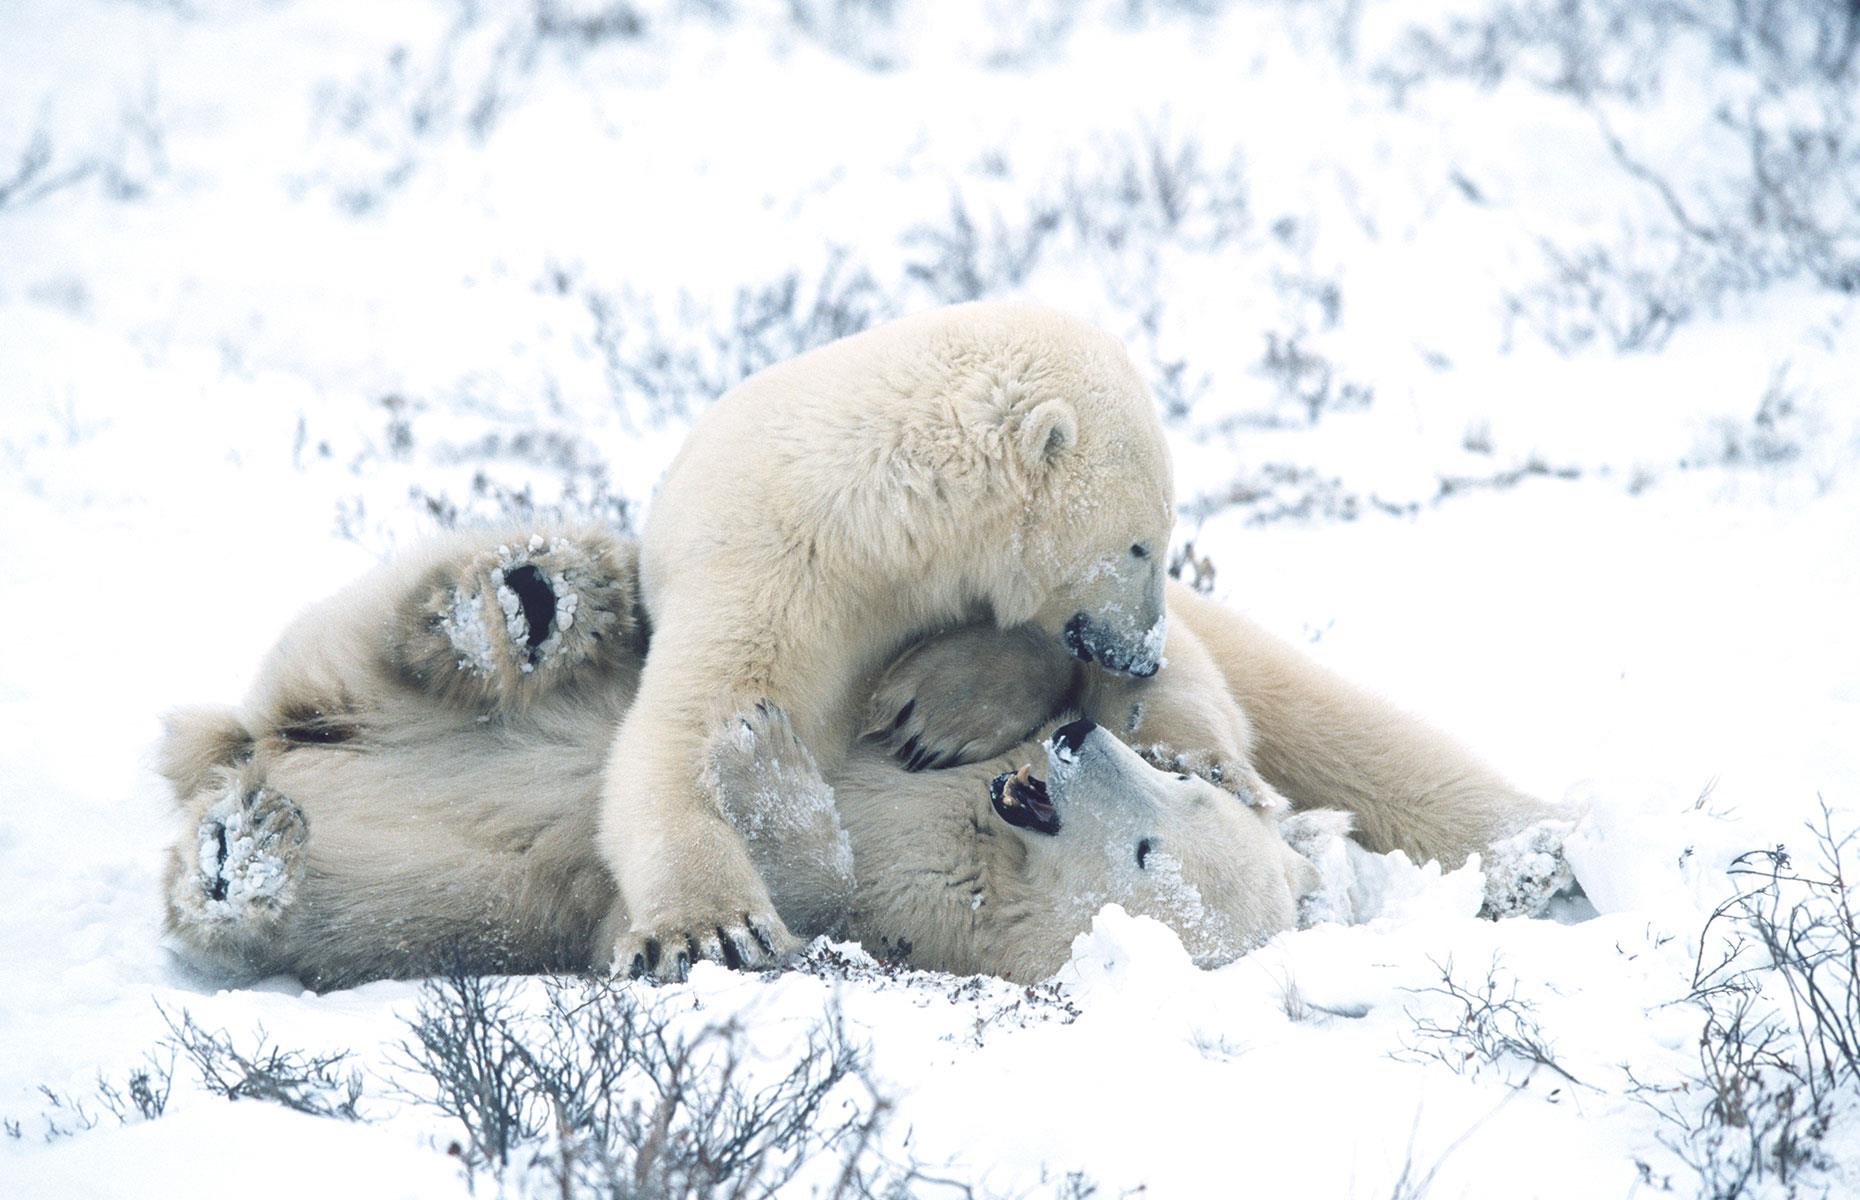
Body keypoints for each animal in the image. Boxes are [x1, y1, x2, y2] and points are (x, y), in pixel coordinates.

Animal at [159, 528, 1324, 989]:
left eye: (1146, 853)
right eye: (1174, 790)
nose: (1078, 744)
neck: (984, 848)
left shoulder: (917, 920)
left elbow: (772, 906)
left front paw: (761, 764)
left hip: (433, 891)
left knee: (370, 896)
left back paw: (242, 862)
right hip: (355, 687)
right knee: (388, 641)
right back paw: (529, 603)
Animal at [602, 299, 1182, 974]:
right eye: (1140, 544)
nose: (1144, 657)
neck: (882, 521)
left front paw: (933, 714)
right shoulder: (773, 572)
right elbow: (700, 721)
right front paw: (714, 928)